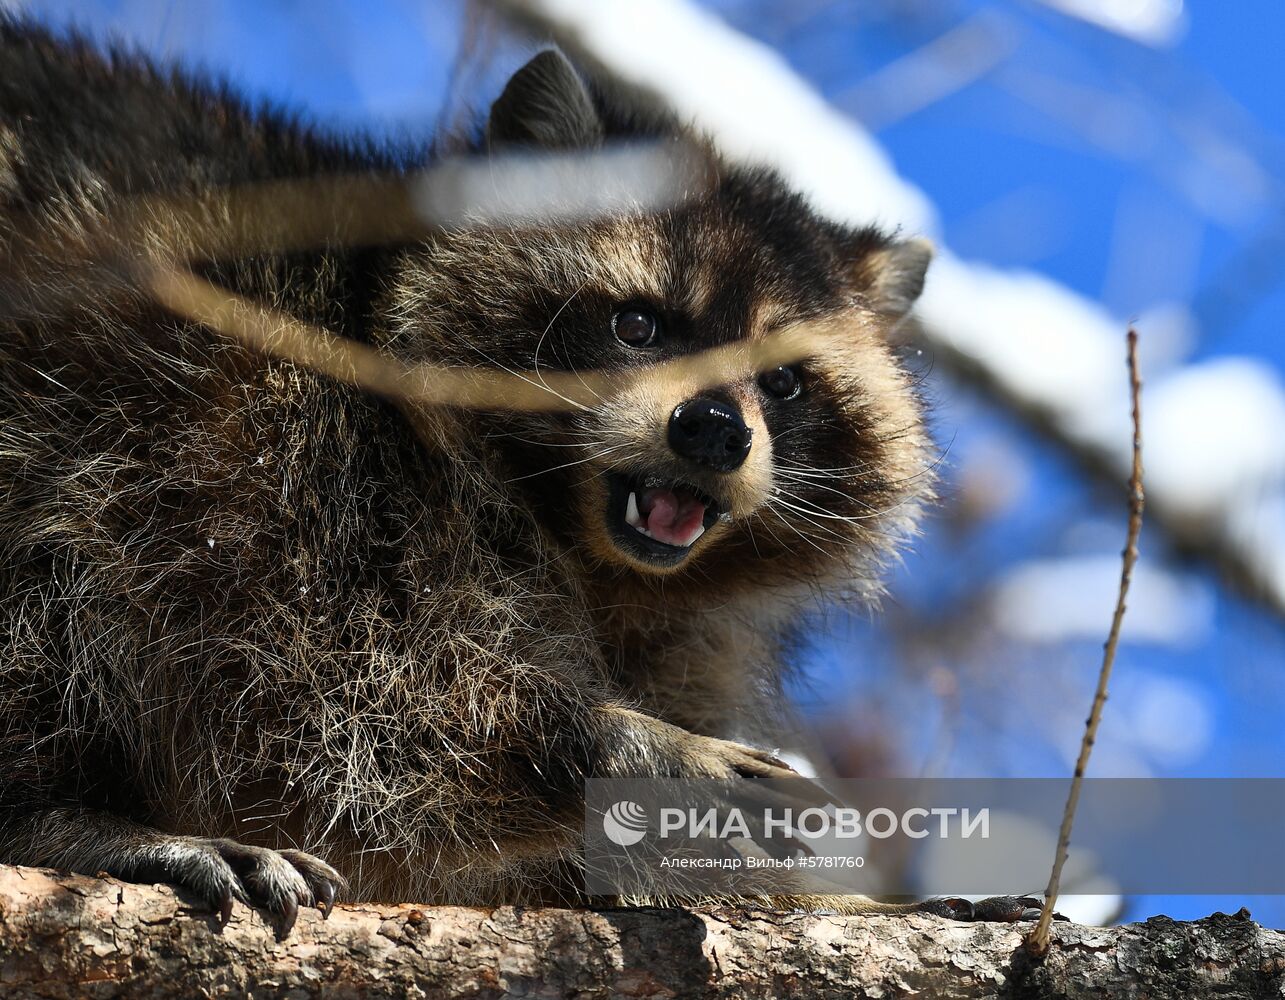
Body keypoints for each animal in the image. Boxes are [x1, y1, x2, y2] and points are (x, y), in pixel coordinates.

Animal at [0, 21, 1033, 925]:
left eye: (783, 382)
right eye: (636, 323)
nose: (710, 431)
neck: (577, 539)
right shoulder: (309, 461)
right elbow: (353, 708)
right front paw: (611, 742)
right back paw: (66, 819)